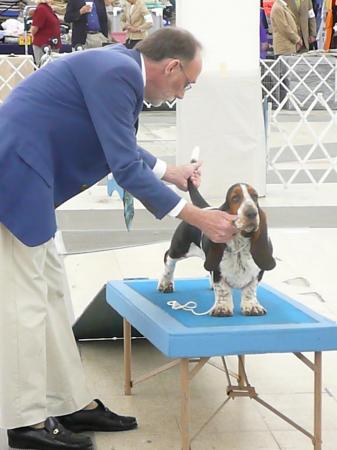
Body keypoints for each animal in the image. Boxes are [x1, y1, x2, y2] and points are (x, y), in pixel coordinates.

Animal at [158, 180, 276, 316]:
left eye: (255, 197)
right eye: (235, 198)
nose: (252, 213)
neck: (239, 242)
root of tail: (203, 208)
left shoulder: (257, 273)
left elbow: (250, 289)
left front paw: (252, 307)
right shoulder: (218, 271)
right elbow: (223, 289)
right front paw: (222, 308)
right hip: (180, 248)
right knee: (168, 258)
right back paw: (166, 284)